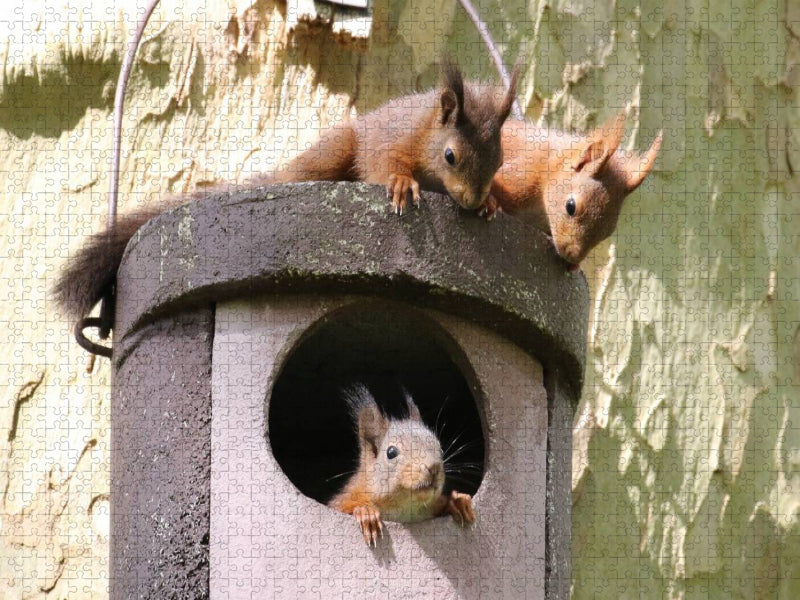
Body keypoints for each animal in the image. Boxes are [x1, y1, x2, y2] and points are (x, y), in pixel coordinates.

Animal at [248, 59, 518, 215]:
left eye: (500, 162)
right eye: (450, 156)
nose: (473, 201)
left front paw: (490, 202)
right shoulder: (397, 138)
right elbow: (383, 160)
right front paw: (401, 182)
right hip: (333, 151)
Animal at [328, 383, 476, 547]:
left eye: (440, 448)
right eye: (391, 452)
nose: (433, 468)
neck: (404, 510)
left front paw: (457, 501)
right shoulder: (346, 499)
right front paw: (365, 512)